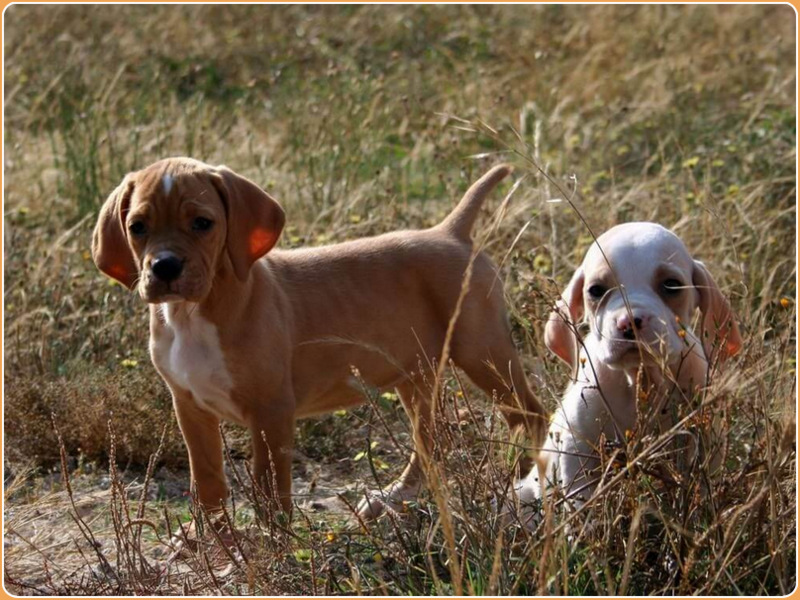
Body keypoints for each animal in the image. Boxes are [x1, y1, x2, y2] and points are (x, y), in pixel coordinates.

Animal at [90, 158, 548, 520]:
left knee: (529, 415)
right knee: (432, 440)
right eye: (137, 227)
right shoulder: (190, 408)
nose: (165, 267)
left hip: (482, 352)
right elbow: (208, 486)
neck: (194, 313)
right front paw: (210, 546)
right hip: (415, 373)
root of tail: (449, 231)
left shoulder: (271, 411)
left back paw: (524, 483)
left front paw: (269, 555)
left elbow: (270, 493)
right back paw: (392, 498)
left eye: (203, 223)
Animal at [516, 224, 740, 510]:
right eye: (596, 290)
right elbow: (582, 505)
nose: (629, 321)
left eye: (671, 284)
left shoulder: (705, 441)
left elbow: (701, 490)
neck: (641, 379)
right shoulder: (577, 450)